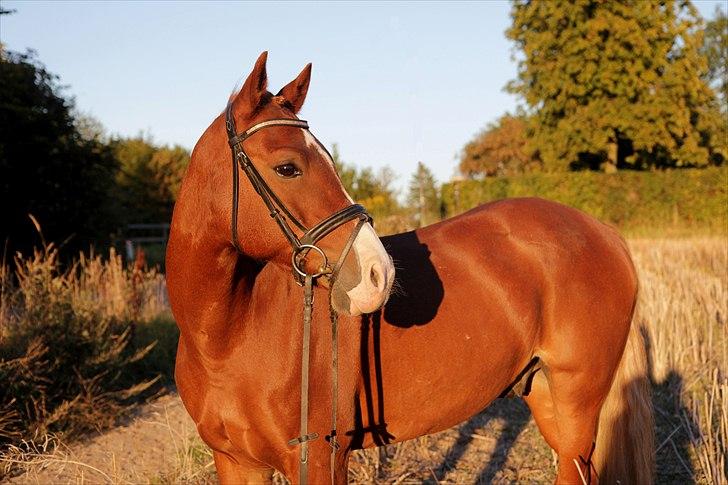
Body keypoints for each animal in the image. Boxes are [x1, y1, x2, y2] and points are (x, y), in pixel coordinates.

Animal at [168, 51, 656, 482]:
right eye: (288, 167)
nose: (378, 275)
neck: (229, 341)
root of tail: (604, 231)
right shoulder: (236, 462)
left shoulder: (323, 462)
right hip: (543, 394)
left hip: (577, 401)